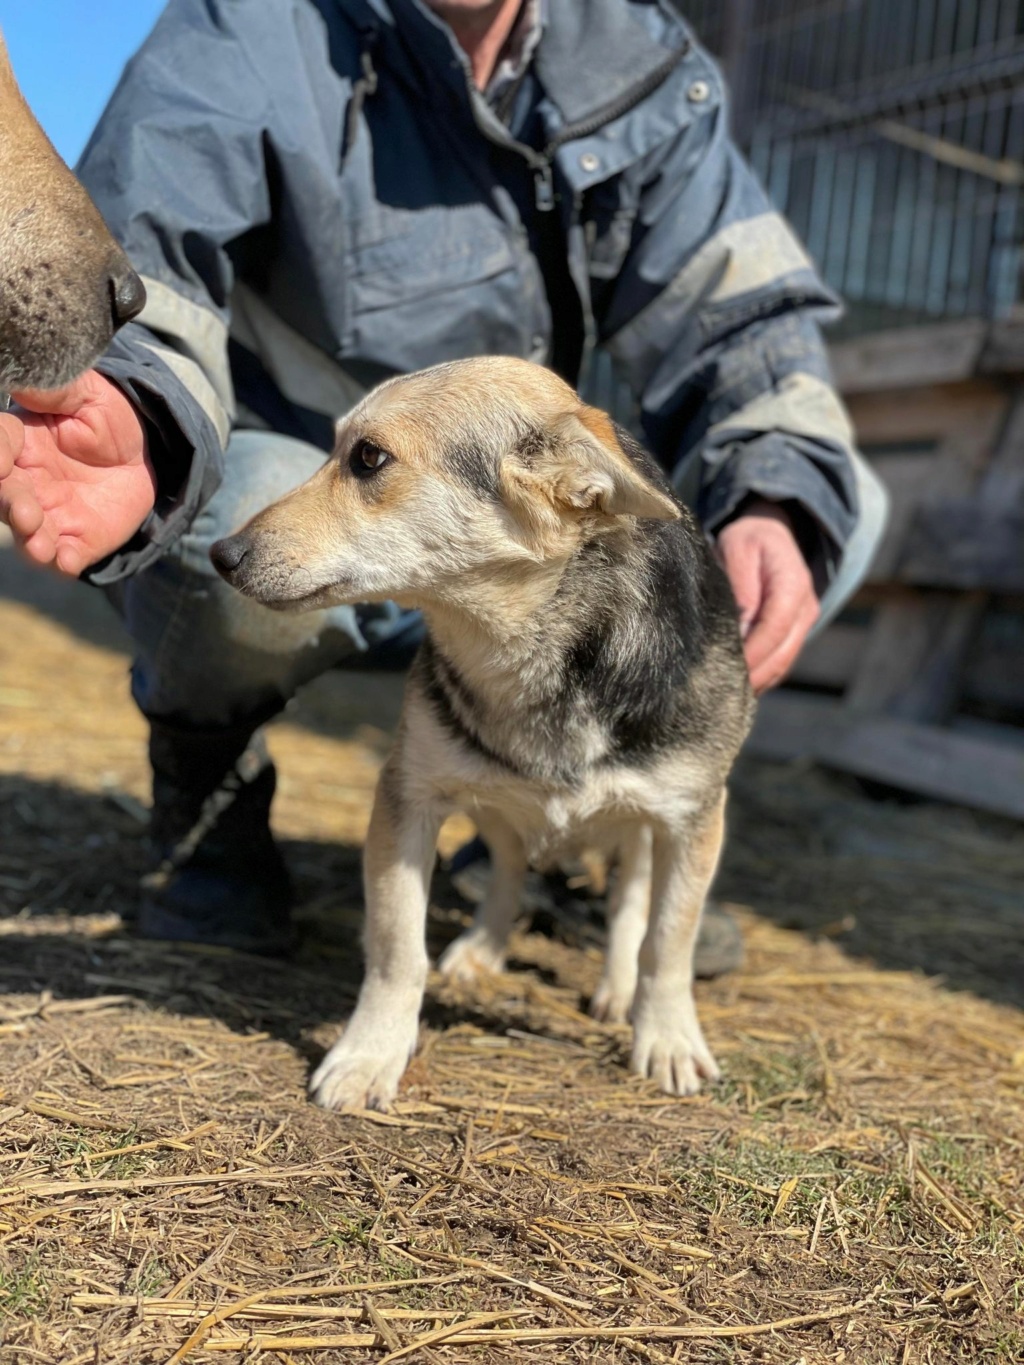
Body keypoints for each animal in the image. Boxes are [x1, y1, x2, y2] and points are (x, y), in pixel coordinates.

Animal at [212, 357, 759, 1113]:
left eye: (368, 458)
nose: (221, 554)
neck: (530, 648)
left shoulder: (692, 816)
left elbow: (667, 943)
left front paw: (669, 1037)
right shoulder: (408, 797)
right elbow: (398, 948)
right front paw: (371, 1053)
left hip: (642, 826)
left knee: (628, 903)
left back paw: (616, 986)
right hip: (493, 799)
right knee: (507, 866)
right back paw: (482, 948)